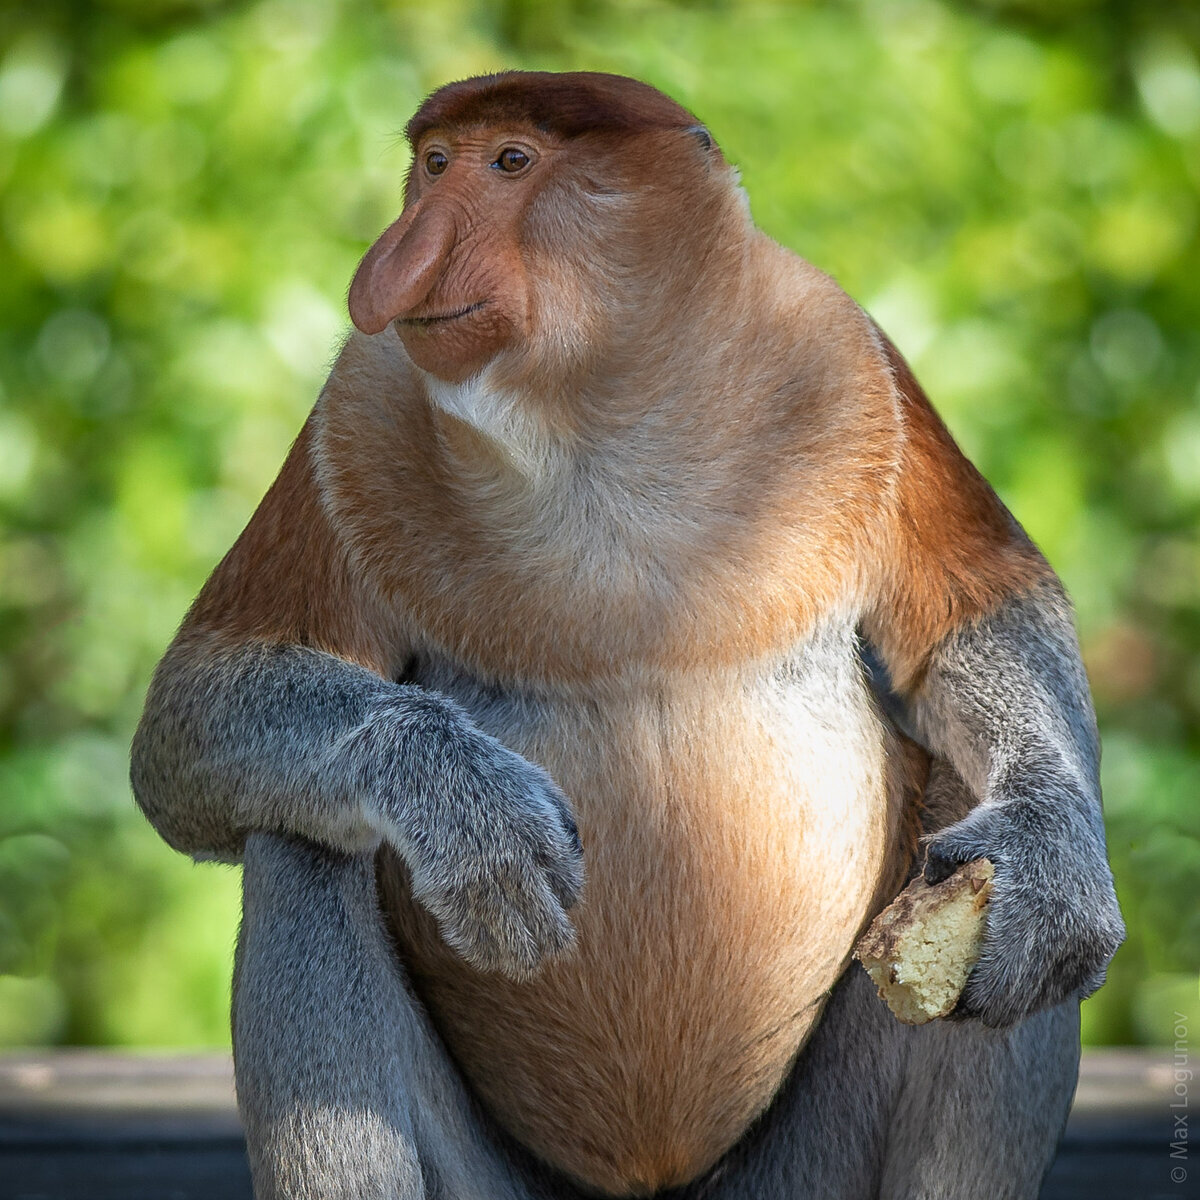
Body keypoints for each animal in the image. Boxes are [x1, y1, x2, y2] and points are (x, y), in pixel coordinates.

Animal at [131, 70, 1123, 1195]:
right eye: (434, 164)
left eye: (510, 163)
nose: (391, 262)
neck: (597, 419)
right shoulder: (356, 417)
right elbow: (196, 706)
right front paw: (468, 808)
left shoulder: (853, 366)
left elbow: (979, 610)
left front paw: (1052, 870)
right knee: (302, 848)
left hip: (803, 1168)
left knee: (967, 824)